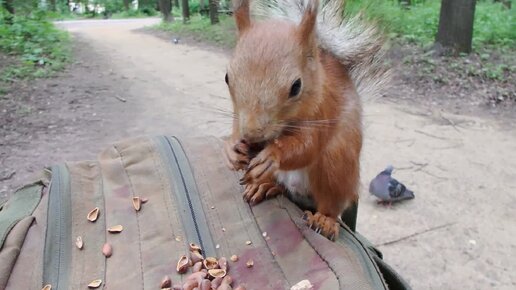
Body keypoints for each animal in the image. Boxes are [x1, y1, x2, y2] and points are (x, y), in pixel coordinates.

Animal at [222, 0, 388, 240]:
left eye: (296, 86)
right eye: (227, 77)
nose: (252, 135)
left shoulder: (323, 110)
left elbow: (308, 146)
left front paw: (273, 154)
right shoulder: (239, 117)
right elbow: (235, 130)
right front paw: (231, 149)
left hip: (335, 166)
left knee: (330, 203)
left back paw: (325, 220)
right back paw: (265, 185)